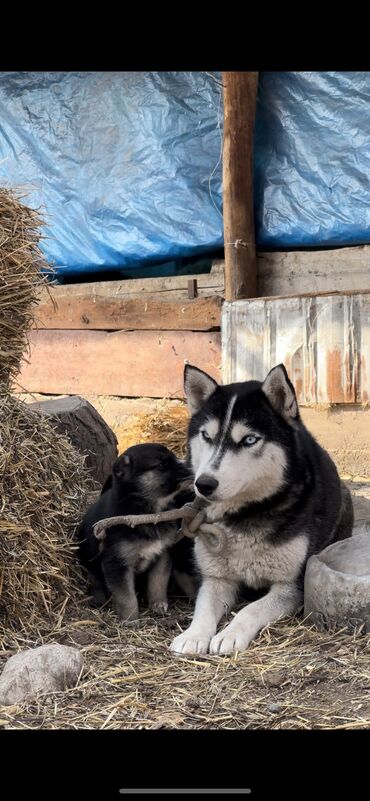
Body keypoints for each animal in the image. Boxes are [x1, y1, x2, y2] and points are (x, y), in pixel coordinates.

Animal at [77, 444, 194, 620]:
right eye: (162, 464)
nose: (192, 468)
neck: (148, 513)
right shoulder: (116, 564)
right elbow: (127, 597)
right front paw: (130, 619)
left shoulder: (163, 554)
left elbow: (158, 581)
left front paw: (158, 605)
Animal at [171, 366, 352, 652]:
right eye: (207, 436)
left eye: (249, 439)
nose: (204, 484)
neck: (246, 513)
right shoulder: (216, 578)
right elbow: (203, 608)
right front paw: (193, 635)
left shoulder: (291, 586)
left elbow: (252, 609)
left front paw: (230, 634)